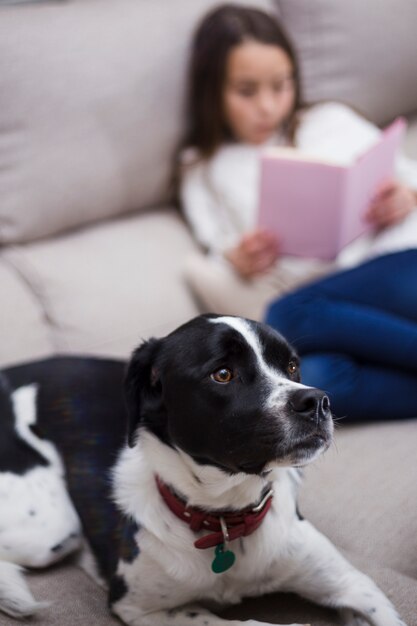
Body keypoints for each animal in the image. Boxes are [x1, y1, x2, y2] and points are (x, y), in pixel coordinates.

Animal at [0, 316, 404, 624]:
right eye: (222, 374)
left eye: (292, 367)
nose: (317, 401)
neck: (227, 516)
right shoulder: (138, 607)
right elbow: (237, 622)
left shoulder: (353, 583)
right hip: (52, 526)